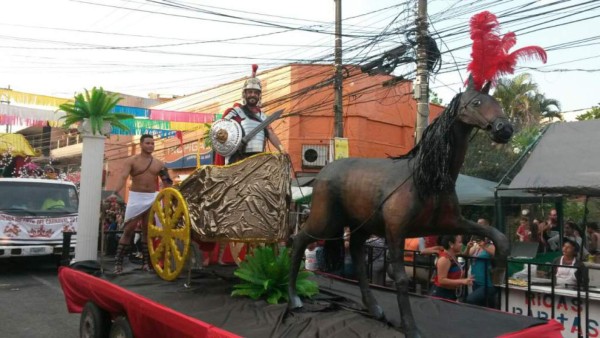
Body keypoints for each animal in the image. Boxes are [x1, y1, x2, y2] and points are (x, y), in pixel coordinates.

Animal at [288, 80, 512, 338]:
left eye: (497, 102)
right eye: (476, 102)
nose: (505, 128)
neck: (427, 179)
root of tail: (324, 171)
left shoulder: (452, 223)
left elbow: (497, 235)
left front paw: (498, 271)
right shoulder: (396, 231)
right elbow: (402, 278)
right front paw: (411, 329)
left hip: (361, 226)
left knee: (356, 255)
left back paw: (374, 308)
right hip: (325, 222)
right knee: (299, 241)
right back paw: (294, 299)